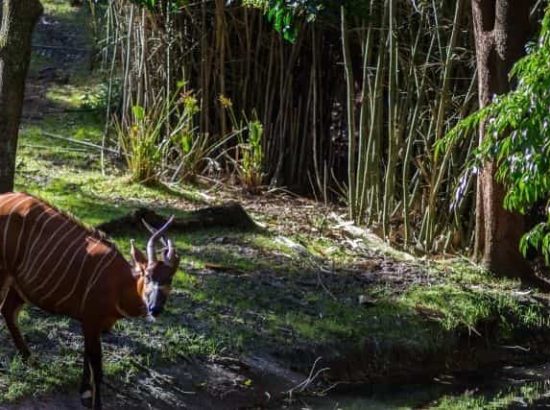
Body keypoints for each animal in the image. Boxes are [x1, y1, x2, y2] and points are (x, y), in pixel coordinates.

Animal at [0, 191, 179, 406]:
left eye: (169, 279)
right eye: (148, 275)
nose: (155, 309)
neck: (119, 283)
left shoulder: (92, 324)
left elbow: (87, 358)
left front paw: (84, 392)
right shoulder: (92, 320)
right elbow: (97, 368)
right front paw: (94, 402)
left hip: (20, 286)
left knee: (8, 310)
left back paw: (30, 359)